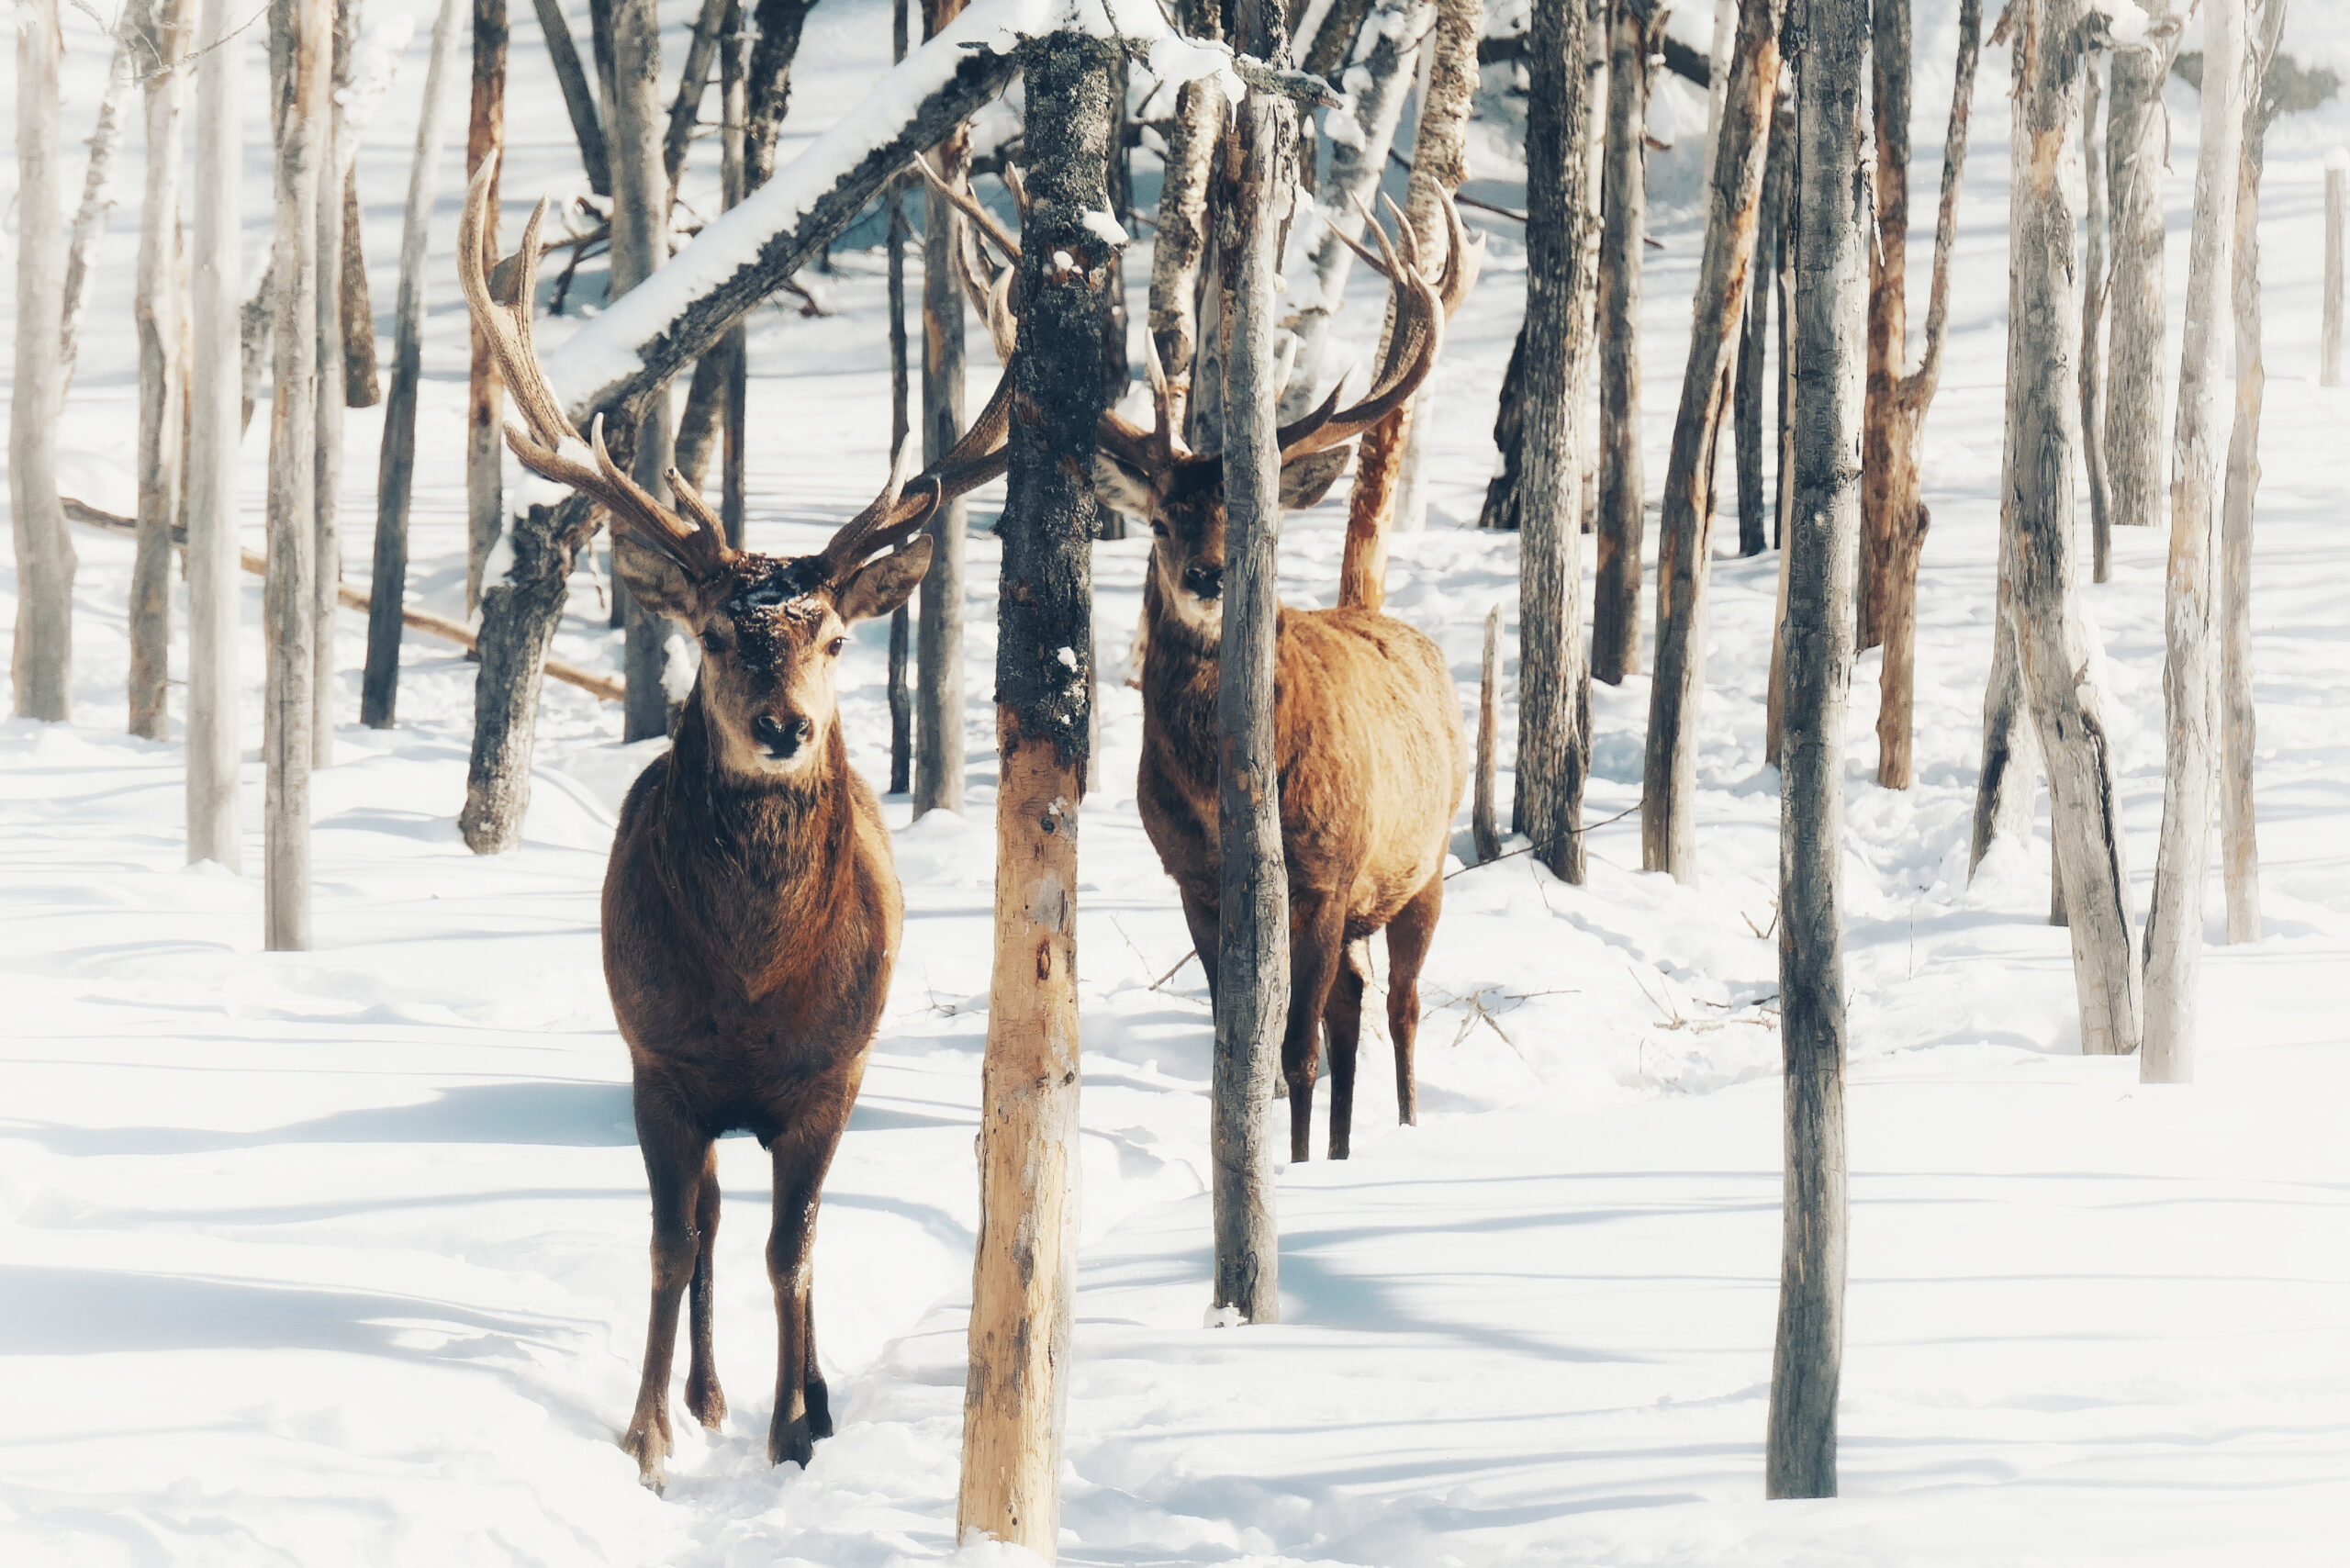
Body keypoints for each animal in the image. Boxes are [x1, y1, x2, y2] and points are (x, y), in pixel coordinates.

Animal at [458, 162, 1010, 1495]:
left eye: (837, 636)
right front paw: (650, 1435)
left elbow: (792, 1253)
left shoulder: (829, 1078)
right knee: (706, 1226)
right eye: (713, 633)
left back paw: (799, 1397)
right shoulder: (661, 1066)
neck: (755, 989)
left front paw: (796, 1429)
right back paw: (704, 1396)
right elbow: (674, 1245)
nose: (782, 727)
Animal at [930, 162, 1466, 1166]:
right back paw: (1344, 1150)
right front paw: (1271, 1148)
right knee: (1354, 1008)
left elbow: (1292, 1049)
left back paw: (1407, 1131)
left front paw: (1290, 1168)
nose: (1209, 576)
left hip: (1426, 860)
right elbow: (1248, 1043)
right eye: (1162, 519)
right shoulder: (1190, 877)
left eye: (1247, 516)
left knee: (1403, 1006)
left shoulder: (1324, 875)